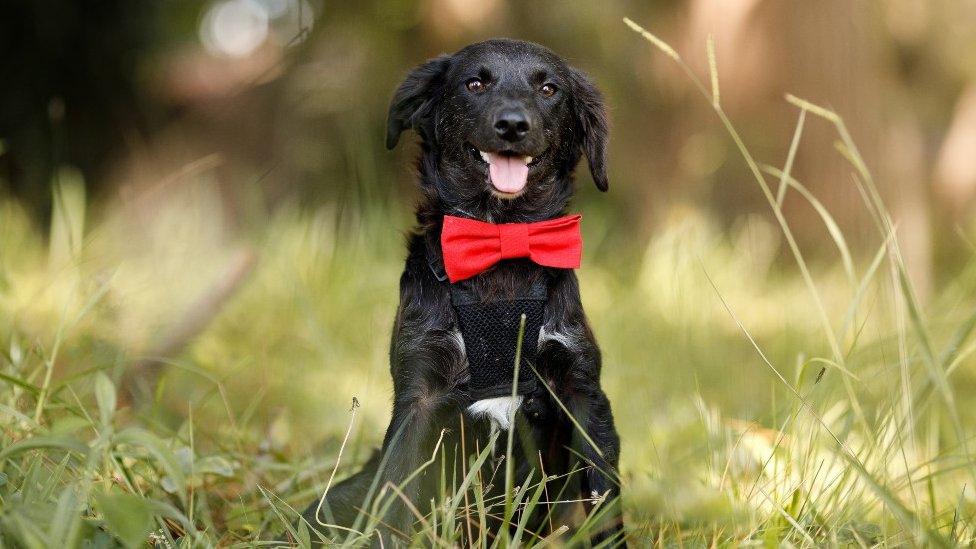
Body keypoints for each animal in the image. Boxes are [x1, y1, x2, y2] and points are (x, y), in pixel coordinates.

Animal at [298, 37, 620, 544]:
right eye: (475, 84)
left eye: (548, 88)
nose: (512, 125)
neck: (500, 242)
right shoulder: (419, 394)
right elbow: (394, 499)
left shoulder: (583, 391)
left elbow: (605, 506)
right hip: (332, 502)